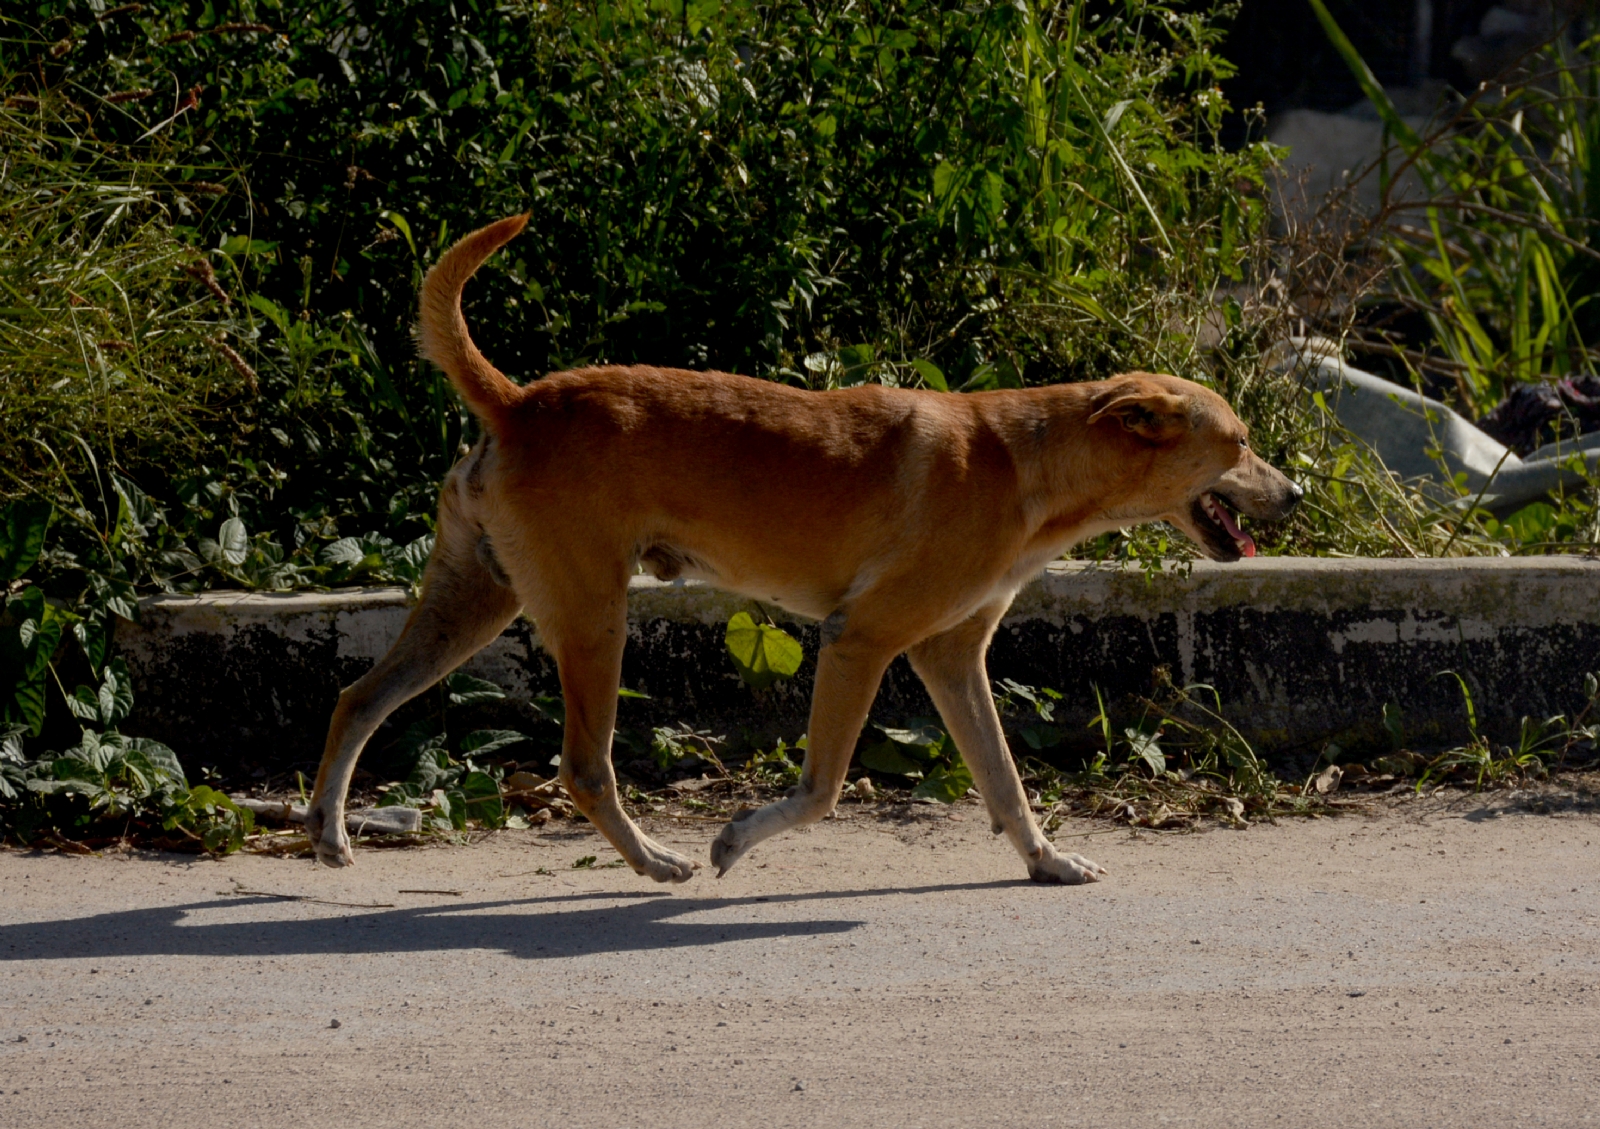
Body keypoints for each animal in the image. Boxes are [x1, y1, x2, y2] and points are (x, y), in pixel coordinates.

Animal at [302, 211, 1299, 882]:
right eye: (1243, 441)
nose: (1297, 493)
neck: (1028, 460)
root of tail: (517, 402)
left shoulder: (950, 654)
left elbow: (1005, 781)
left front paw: (1045, 858)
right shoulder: (860, 638)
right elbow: (822, 788)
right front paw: (734, 838)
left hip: (474, 601)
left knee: (357, 697)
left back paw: (327, 826)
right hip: (592, 617)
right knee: (583, 767)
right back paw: (655, 859)